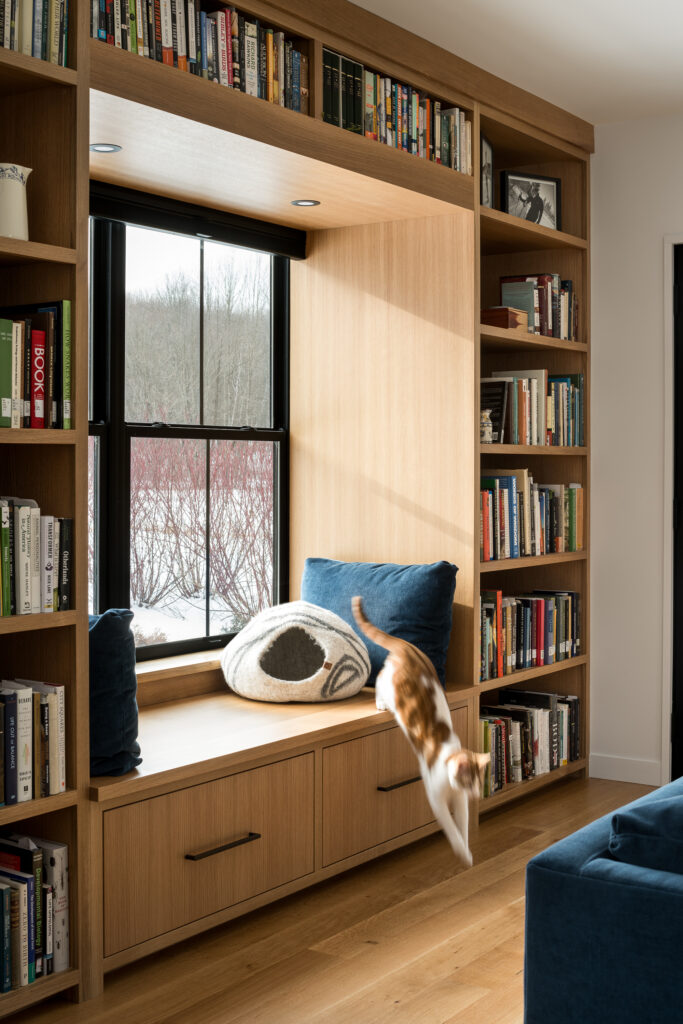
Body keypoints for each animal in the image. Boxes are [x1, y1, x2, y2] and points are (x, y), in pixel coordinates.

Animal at [352, 598, 485, 868]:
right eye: (470, 781)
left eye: (479, 782)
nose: (477, 794)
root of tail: (407, 647)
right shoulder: (437, 799)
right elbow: (451, 827)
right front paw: (460, 850)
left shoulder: (460, 801)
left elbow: (463, 824)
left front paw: (467, 850)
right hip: (389, 682)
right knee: (379, 679)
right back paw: (381, 703)